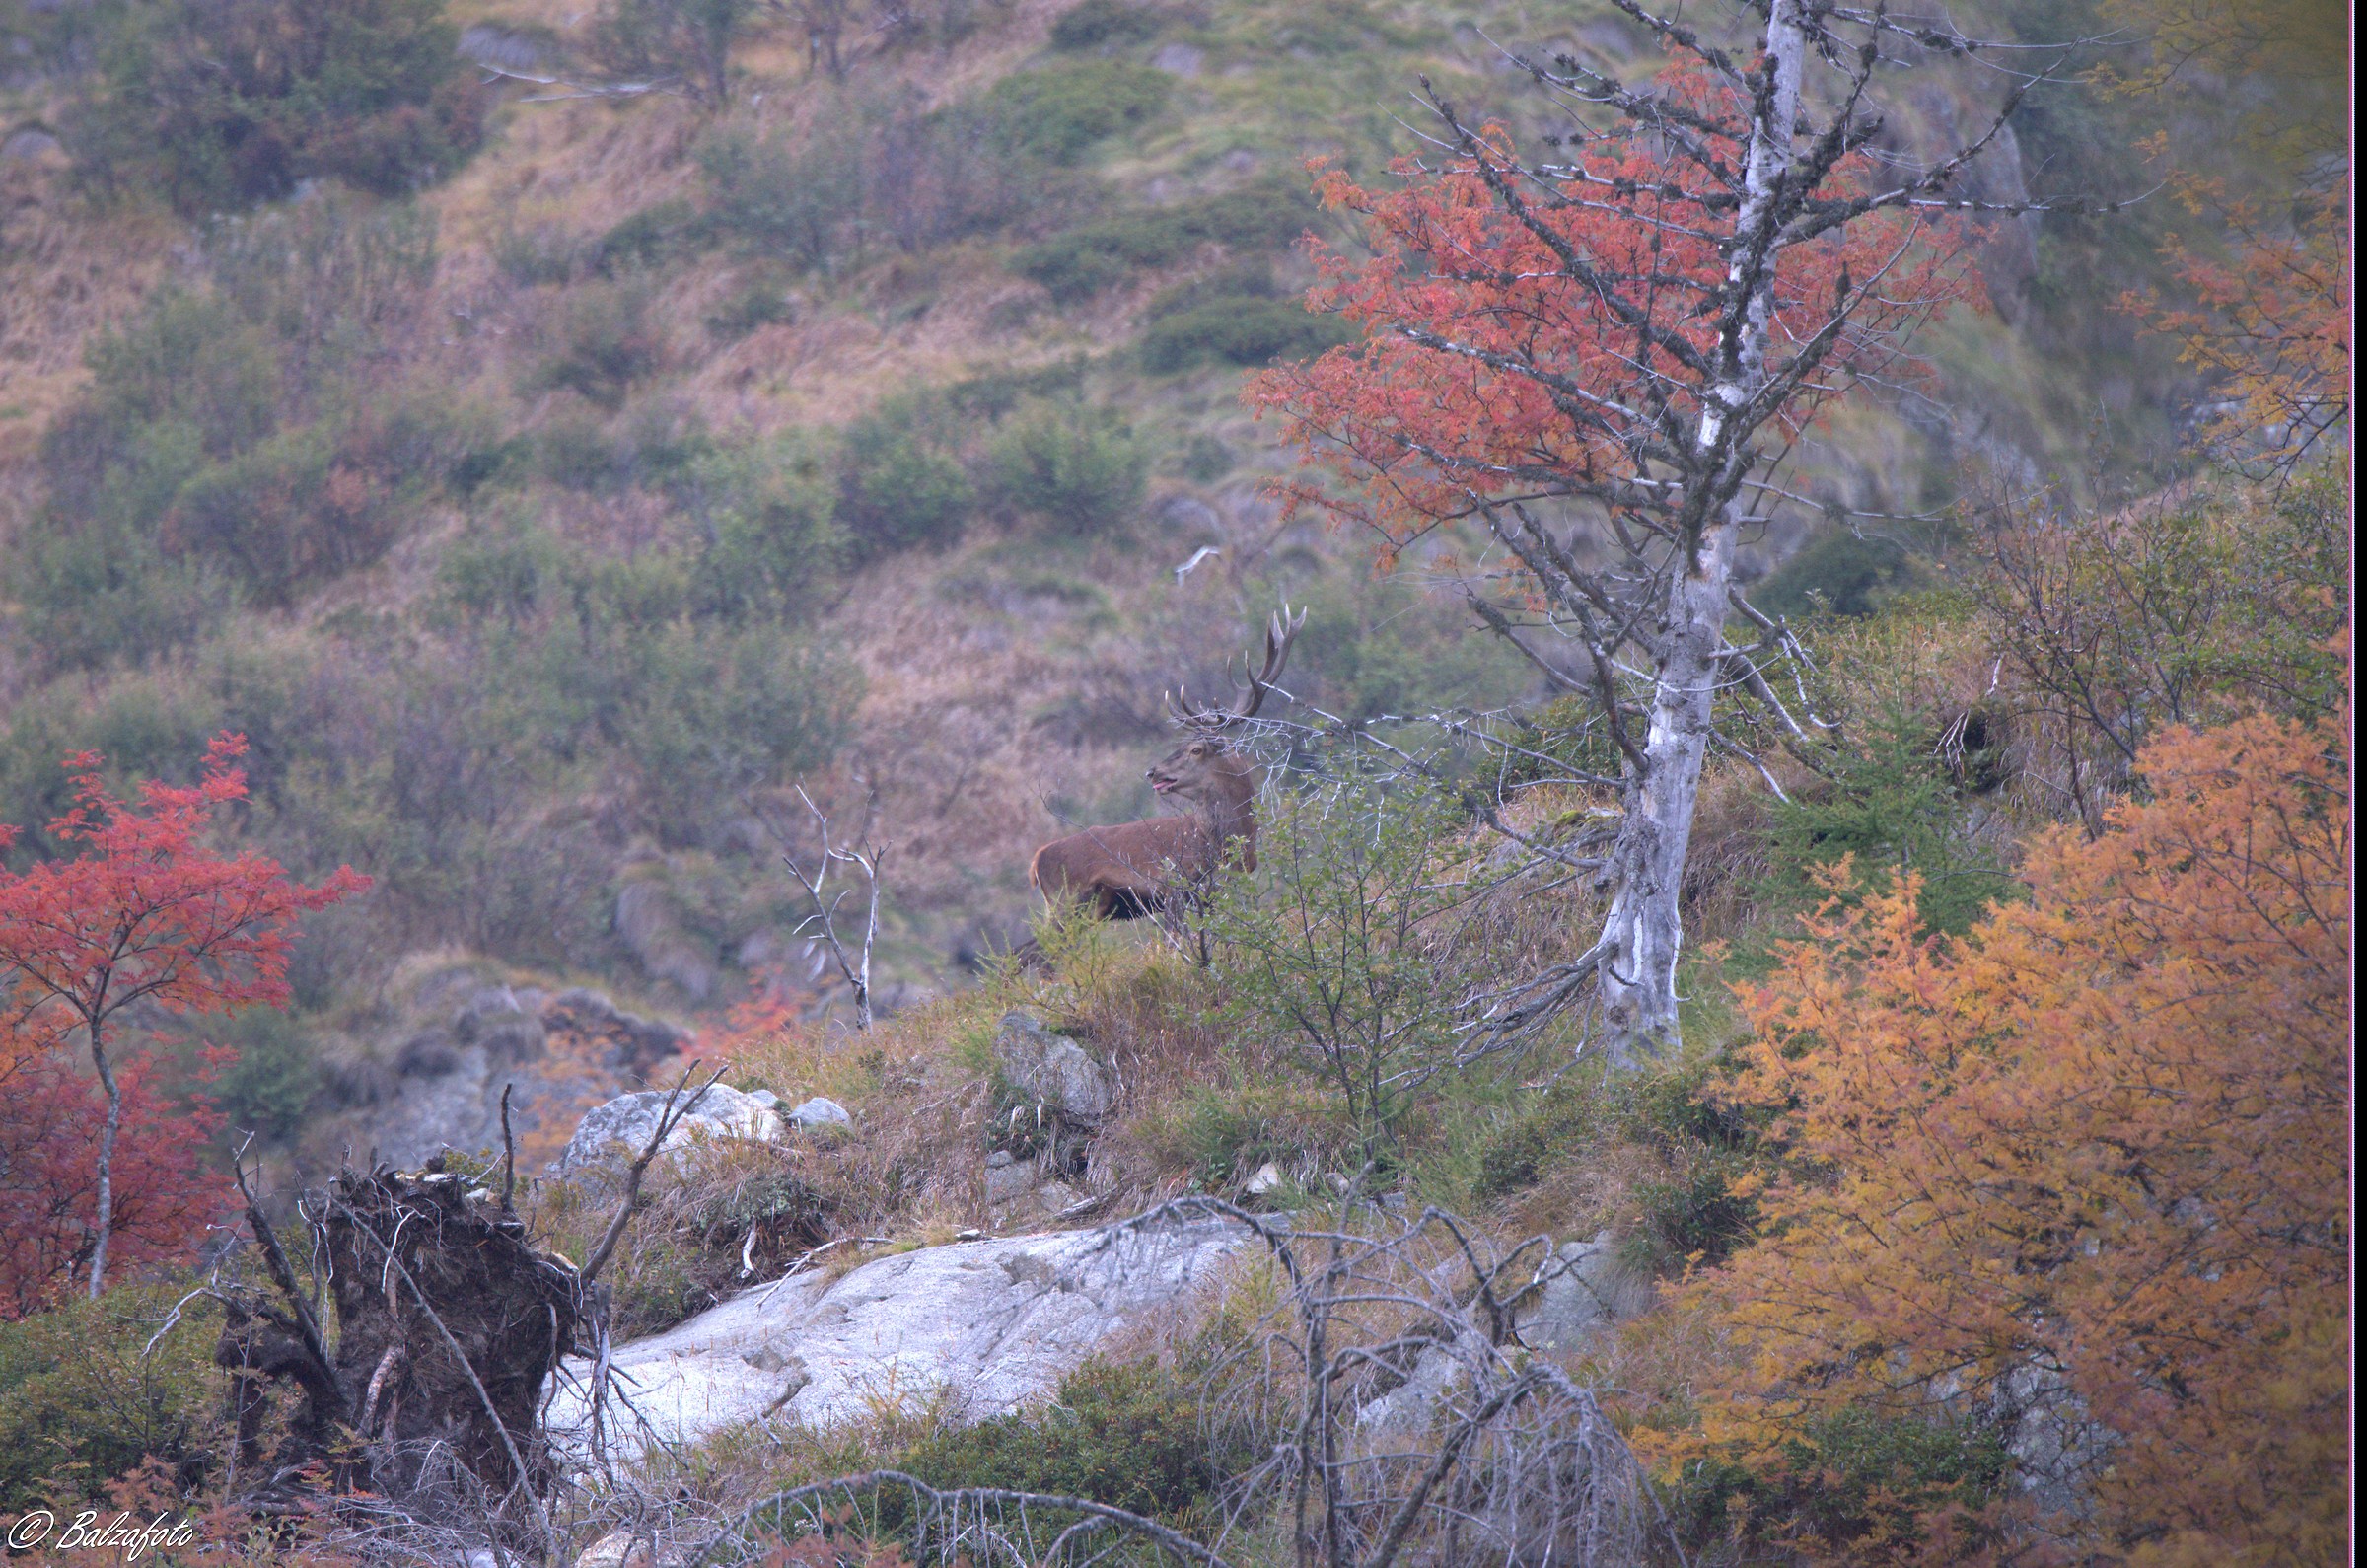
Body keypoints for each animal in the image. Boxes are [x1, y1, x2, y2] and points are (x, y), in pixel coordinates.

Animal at [1028, 606, 1305, 925]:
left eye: (1196, 750)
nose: (1153, 772)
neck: (1225, 849)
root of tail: (1036, 861)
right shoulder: (1174, 888)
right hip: (1065, 903)